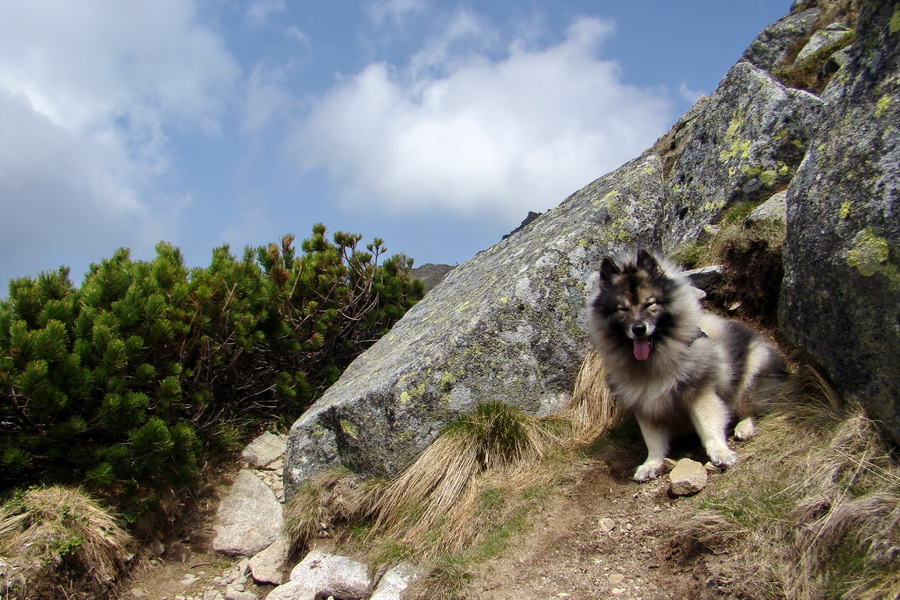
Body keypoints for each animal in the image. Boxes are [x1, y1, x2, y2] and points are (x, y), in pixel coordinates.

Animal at [588, 248, 784, 482]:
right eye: (622, 309)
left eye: (650, 304)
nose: (639, 329)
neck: (656, 359)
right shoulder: (645, 404)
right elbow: (653, 441)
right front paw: (651, 464)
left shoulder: (701, 392)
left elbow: (709, 426)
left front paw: (721, 452)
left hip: (750, 376)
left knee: (751, 409)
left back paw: (744, 427)